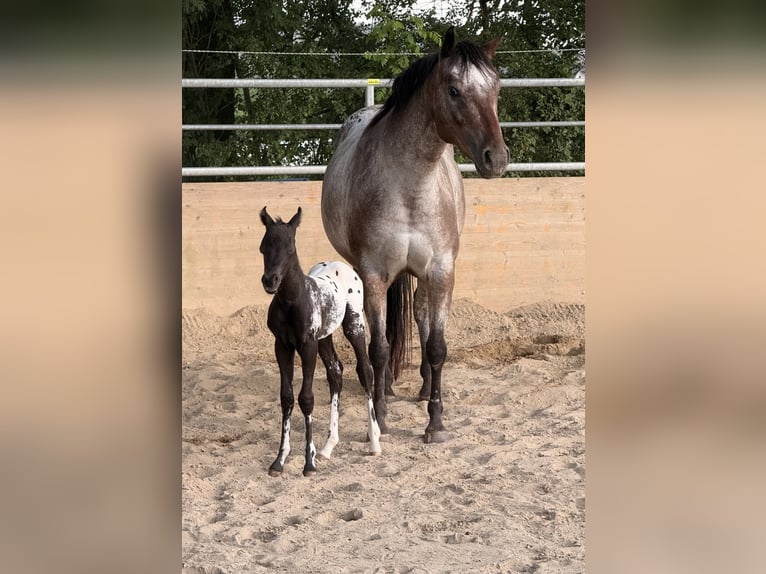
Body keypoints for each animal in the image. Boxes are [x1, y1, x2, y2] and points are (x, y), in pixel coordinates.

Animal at [259, 206, 381, 477]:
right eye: (263, 247)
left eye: (290, 247)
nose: (270, 281)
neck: (293, 301)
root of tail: (345, 266)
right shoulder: (282, 346)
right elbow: (287, 397)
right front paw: (279, 461)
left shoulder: (307, 346)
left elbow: (306, 398)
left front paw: (309, 463)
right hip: (325, 336)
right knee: (336, 373)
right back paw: (328, 447)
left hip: (354, 325)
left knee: (365, 370)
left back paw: (374, 442)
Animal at [321, 27, 508, 443]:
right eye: (454, 89)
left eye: (496, 88)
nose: (497, 158)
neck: (410, 187)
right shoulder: (374, 275)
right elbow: (378, 347)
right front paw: (381, 415)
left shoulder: (441, 272)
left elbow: (437, 345)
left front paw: (435, 422)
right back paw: (384, 386)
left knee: (421, 316)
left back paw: (422, 388)